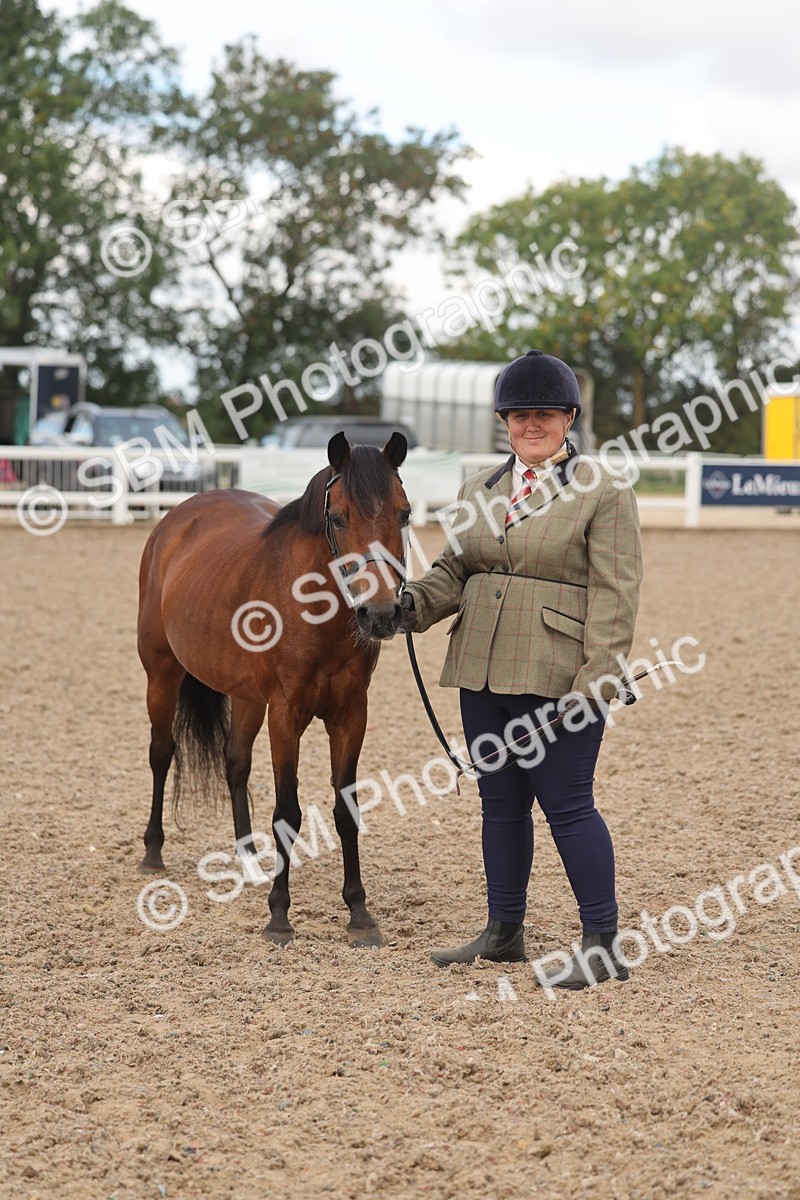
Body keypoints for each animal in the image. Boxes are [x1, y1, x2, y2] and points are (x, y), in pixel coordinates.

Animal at [136, 431, 411, 947]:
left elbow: (346, 811)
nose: (382, 614)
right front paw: (279, 916)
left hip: (246, 698)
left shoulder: (351, 715)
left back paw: (248, 860)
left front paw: (359, 913)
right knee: (162, 754)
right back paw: (152, 851)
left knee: (235, 763)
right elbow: (287, 812)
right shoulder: (287, 714)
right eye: (338, 517)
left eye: (404, 514)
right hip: (161, 675)